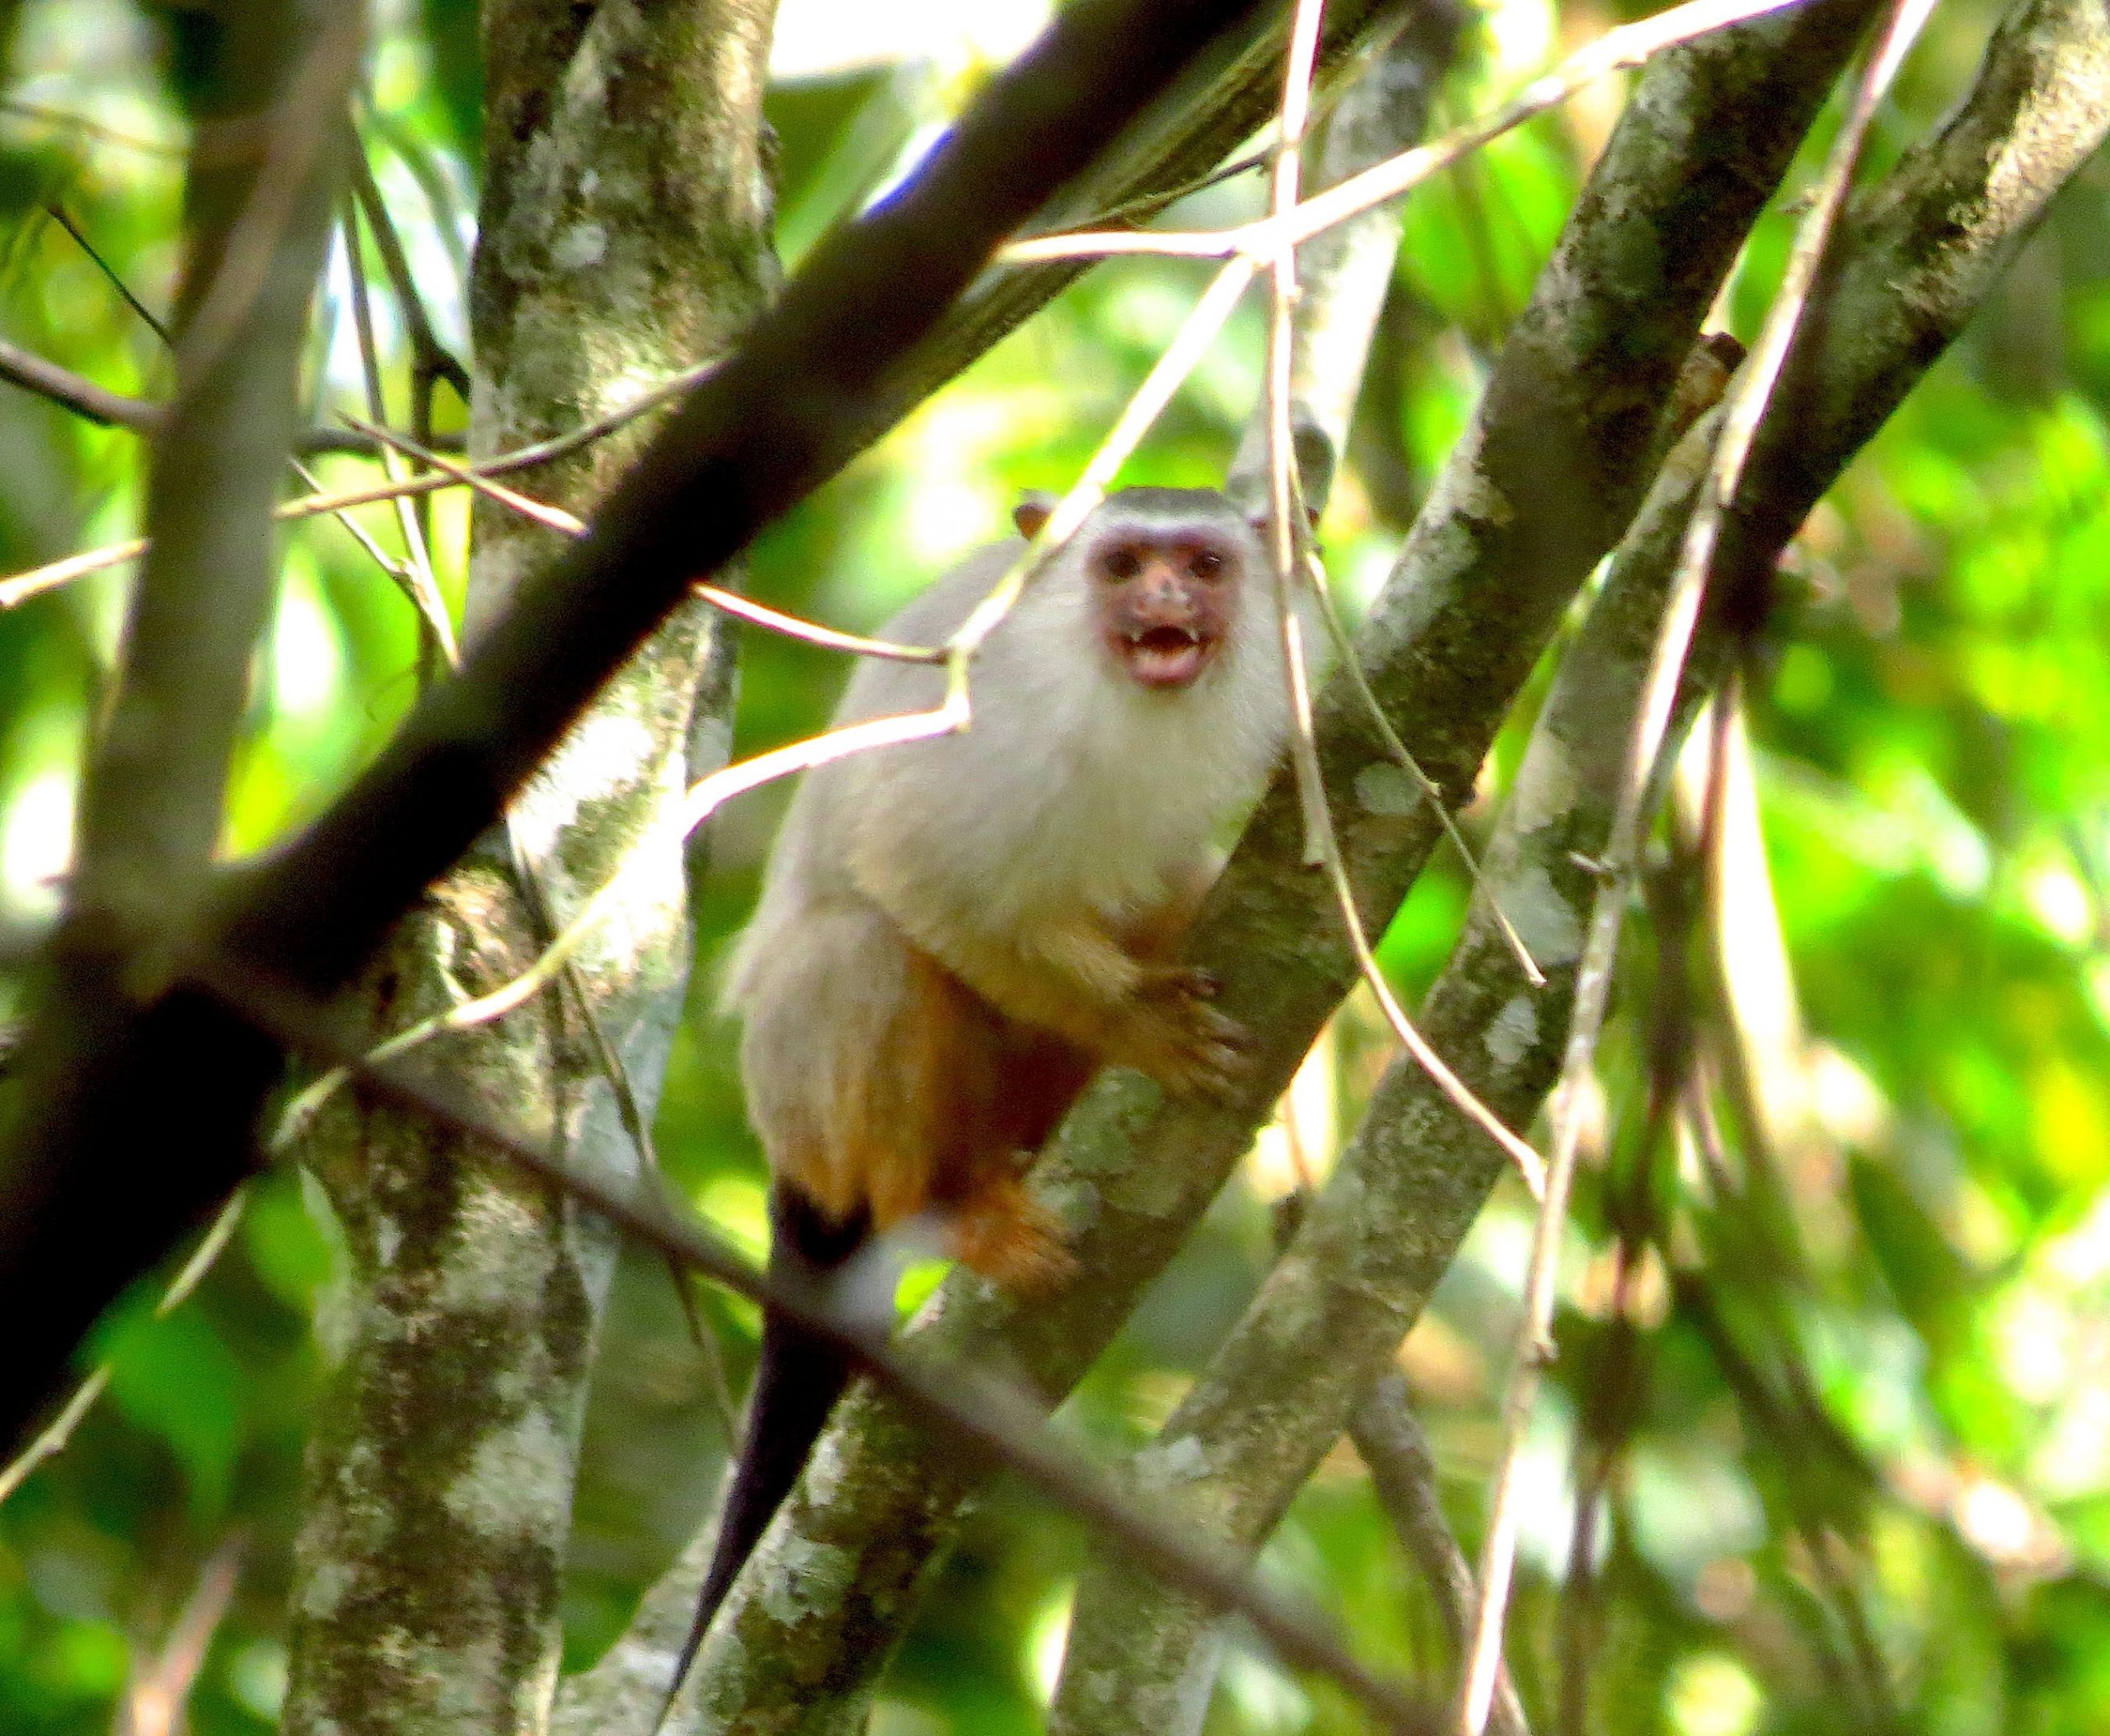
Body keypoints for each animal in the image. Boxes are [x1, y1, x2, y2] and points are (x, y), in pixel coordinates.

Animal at [658, 489, 1291, 1721]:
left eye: (1200, 565)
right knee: (864, 950)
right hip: (808, 1109)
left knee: (1167, 884)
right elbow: (926, 879)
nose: (1164, 601)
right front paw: (1137, 1030)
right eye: (1125, 567)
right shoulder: (990, 731)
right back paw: (948, 1206)